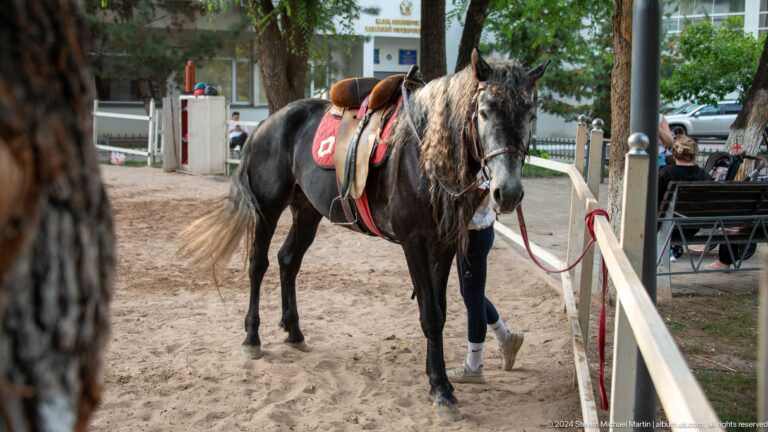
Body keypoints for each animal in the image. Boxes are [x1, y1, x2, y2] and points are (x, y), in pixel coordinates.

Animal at [179, 49, 547, 420]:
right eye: (484, 112)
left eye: (530, 114)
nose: (508, 192)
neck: (422, 151)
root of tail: (265, 127)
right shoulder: (414, 241)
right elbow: (430, 315)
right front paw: (442, 391)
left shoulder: (443, 244)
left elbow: (441, 311)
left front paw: (438, 380)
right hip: (268, 209)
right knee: (259, 264)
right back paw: (252, 338)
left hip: (307, 212)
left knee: (288, 261)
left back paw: (294, 332)